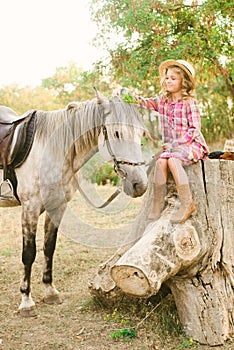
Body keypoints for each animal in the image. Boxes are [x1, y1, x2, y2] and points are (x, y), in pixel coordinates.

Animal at [0, 91, 147, 316]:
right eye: (116, 133)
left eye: (141, 134)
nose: (140, 184)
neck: (52, 152)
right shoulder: (30, 208)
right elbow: (29, 253)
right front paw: (26, 301)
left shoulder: (57, 207)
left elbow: (49, 247)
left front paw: (50, 292)